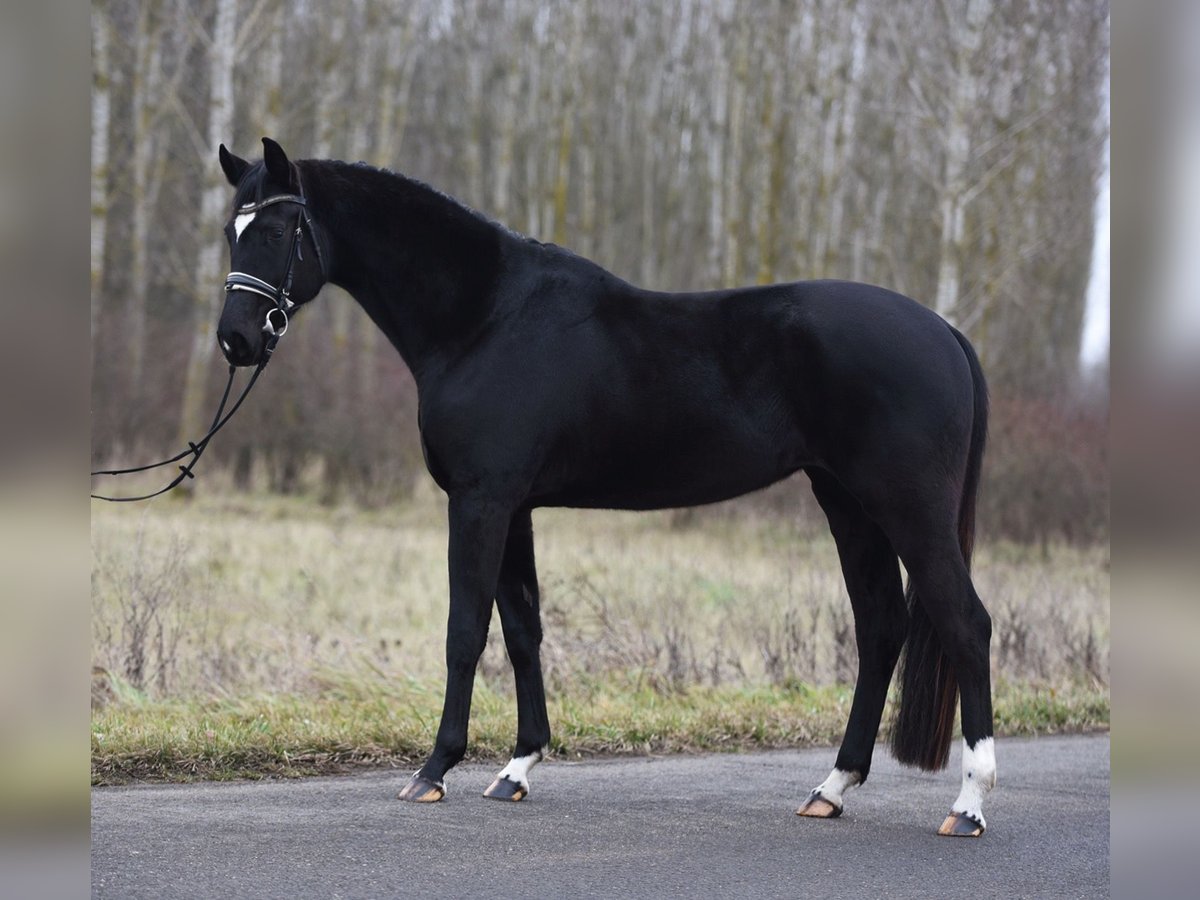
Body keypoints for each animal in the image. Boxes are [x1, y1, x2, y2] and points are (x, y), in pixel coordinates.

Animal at [216, 139, 993, 840]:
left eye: (277, 231)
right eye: (232, 229)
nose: (236, 340)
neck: (486, 318)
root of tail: (945, 332)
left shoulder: (480, 501)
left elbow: (466, 631)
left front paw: (434, 771)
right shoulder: (514, 508)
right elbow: (523, 630)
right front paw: (517, 770)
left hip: (907, 507)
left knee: (965, 623)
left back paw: (968, 805)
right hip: (848, 505)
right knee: (880, 627)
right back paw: (831, 789)